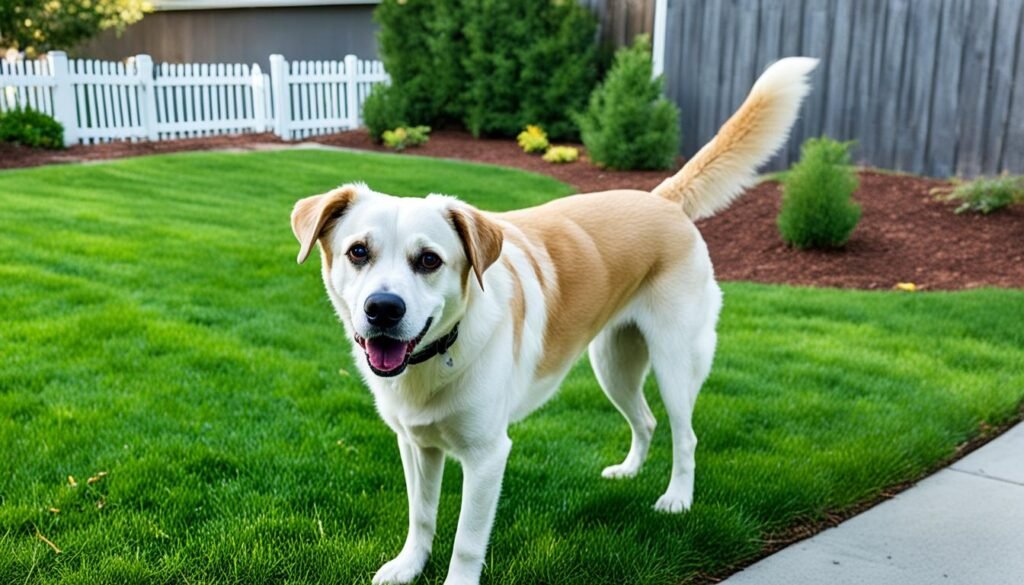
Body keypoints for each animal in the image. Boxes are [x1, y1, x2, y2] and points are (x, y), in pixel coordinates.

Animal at [292, 56, 819, 585]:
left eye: (428, 261)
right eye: (358, 252)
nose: (383, 308)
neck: (439, 354)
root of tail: (662, 199)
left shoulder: (488, 458)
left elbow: (466, 543)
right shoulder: (416, 446)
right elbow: (421, 515)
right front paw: (408, 566)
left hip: (674, 363)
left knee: (684, 435)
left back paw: (676, 499)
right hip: (613, 365)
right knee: (645, 420)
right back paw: (629, 472)